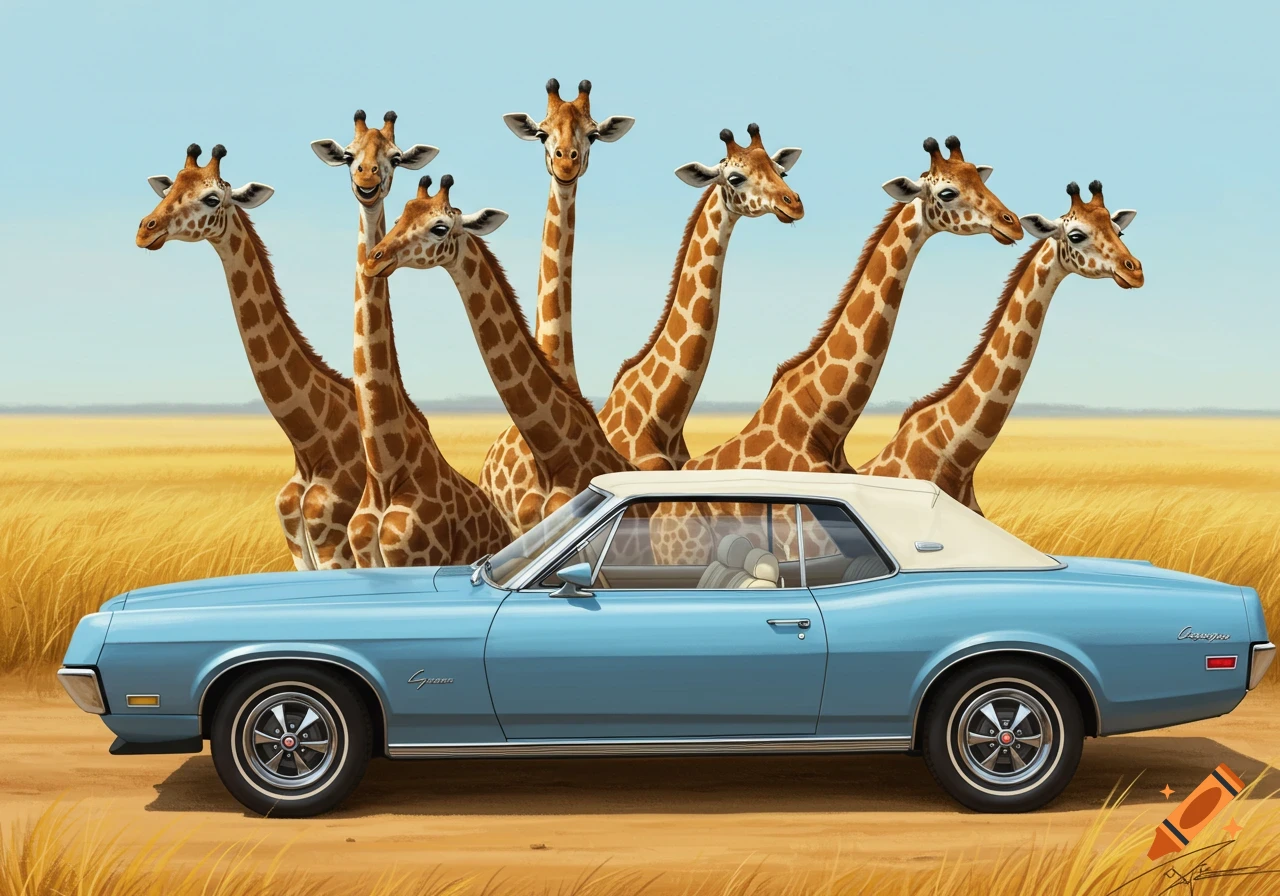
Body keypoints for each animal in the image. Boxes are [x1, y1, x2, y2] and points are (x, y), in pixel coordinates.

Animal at [136, 144, 363, 570]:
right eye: (168, 188)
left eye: (212, 198)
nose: (146, 230)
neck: (311, 446)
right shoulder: (299, 548)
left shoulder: (336, 544)